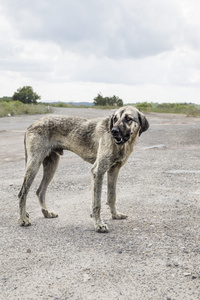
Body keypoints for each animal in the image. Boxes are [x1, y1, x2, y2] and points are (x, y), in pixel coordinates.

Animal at [18, 106, 148, 233]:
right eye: (115, 119)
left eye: (128, 119)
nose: (114, 131)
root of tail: (32, 125)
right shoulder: (98, 171)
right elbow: (97, 203)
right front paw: (99, 224)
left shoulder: (113, 171)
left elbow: (112, 196)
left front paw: (115, 214)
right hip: (34, 164)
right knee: (22, 193)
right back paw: (23, 219)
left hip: (52, 165)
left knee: (40, 191)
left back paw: (46, 212)